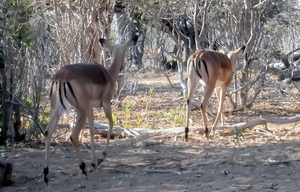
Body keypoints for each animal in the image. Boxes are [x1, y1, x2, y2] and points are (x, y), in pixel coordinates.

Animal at [43, 35, 138, 184]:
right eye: (124, 52)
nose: (123, 66)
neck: (109, 75)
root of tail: (61, 77)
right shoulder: (106, 104)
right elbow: (111, 124)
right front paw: (100, 159)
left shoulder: (91, 109)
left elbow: (93, 131)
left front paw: (94, 163)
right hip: (81, 110)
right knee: (73, 136)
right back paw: (84, 169)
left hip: (57, 110)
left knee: (48, 133)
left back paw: (46, 176)